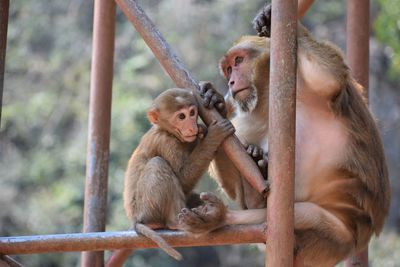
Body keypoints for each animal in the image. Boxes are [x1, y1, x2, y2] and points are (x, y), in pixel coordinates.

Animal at [108, 88, 236, 266]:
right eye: (181, 117)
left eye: (192, 113)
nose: (191, 126)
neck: (169, 132)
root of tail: (136, 219)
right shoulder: (166, 143)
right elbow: (182, 179)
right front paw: (212, 136)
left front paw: (217, 102)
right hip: (146, 209)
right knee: (157, 164)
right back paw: (177, 222)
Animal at [179, 1, 390, 266]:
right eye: (228, 69)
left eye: (238, 61)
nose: (230, 82)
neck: (271, 98)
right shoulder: (251, 119)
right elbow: (242, 189)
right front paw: (216, 101)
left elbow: (329, 79)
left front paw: (277, 21)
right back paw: (257, 164)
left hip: (333, 242)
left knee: (298, 215)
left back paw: (222, 217)